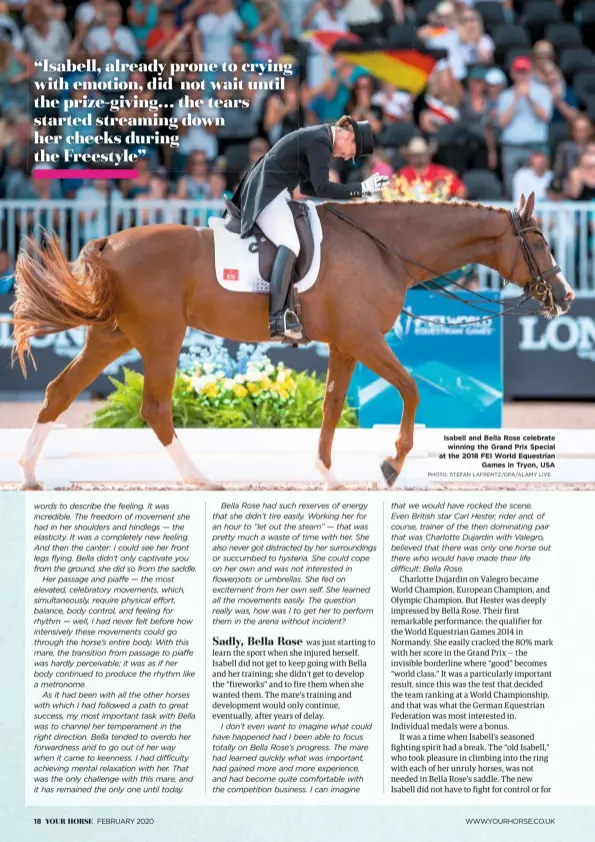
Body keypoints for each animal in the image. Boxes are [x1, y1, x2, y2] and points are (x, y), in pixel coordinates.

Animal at [12, 193, 572, 488]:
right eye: (541, 242)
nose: (565, 296)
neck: (386, 248)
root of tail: (110, 241)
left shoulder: (346, 345)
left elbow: (331, 407)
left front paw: (327, 476)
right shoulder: (365, 339)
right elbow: (411, 390)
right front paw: (390, 465)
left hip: (113, 336)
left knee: (60, 393)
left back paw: (29, 473)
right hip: (161, 337)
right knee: (155, 407)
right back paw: (200, 479)